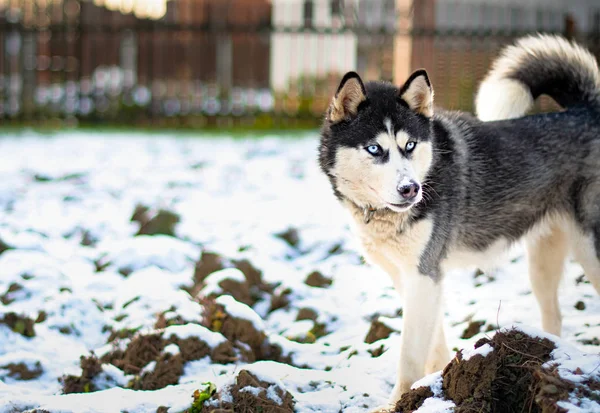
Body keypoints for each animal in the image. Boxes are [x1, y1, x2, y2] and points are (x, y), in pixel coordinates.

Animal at [322, 33, 600, 408]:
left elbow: (410, 353)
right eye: (374, 149)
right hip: (543, 261)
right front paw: (435, 384)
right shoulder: (414, 277)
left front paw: (398, 402)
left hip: (590, 250)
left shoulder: (424, 274)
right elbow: (433, 341)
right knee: (554, 316)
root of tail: (587, 112)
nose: (411, 189)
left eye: (410, 145)